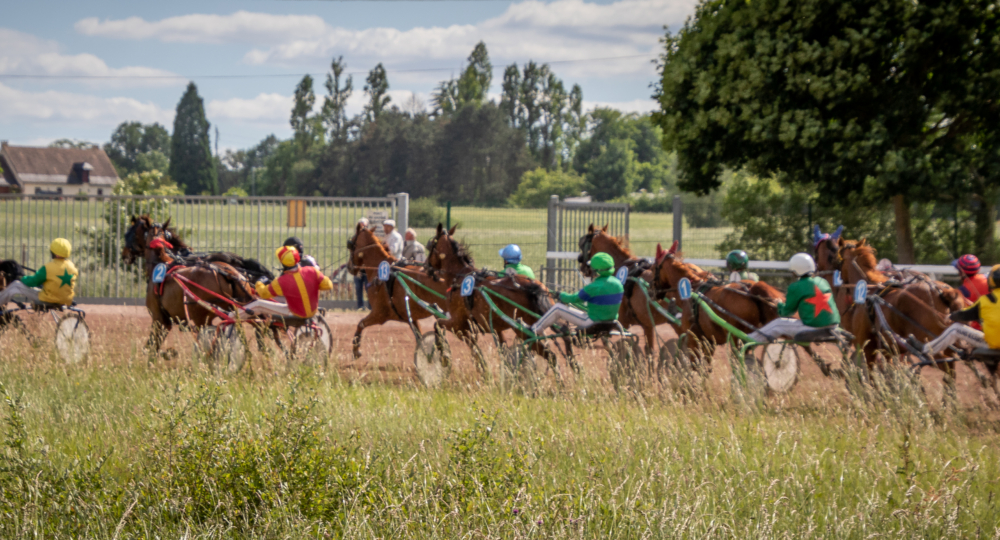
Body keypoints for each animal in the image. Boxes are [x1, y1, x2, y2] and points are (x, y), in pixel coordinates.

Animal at [348, 221, 450, 360]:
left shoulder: (379, 314)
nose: (349, 267)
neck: (382, 271)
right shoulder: (411, 318)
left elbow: (360, 324)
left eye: (351, 243)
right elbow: (420, 340)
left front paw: (356, 350)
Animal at [424, 224, 564, 376]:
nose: (426, 266)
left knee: (550, 356)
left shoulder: (458, 324)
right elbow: (495, 352)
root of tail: (534, 287)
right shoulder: (493, 329)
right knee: (551, 355)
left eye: (430, 245)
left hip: (523, 330)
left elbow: (438, 325)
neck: (459, 277)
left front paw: (442, 358)